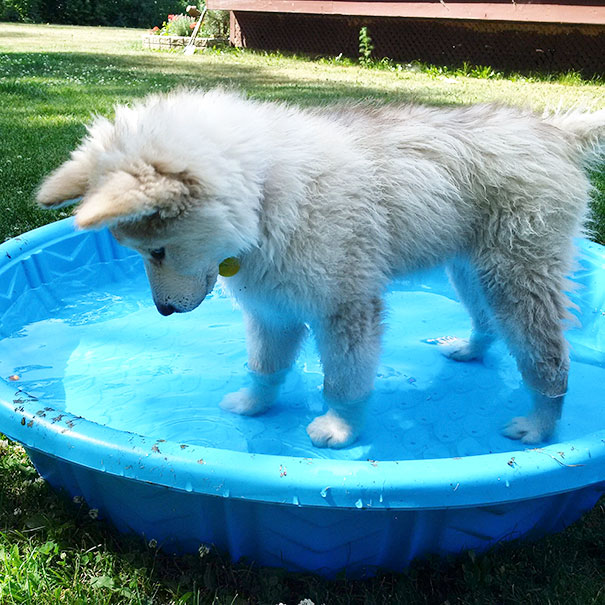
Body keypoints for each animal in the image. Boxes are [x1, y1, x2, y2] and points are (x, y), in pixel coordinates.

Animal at [39, 89, 604, 448]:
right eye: (139, 253)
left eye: (156, 251)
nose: (161, 312)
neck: (268, 192)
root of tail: (554, 131)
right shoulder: (271, 308)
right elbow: (265, 367)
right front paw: (253, 405)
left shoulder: (345, 307)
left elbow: (344, 381)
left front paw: (338, 428)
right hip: (469, 269)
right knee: (485, 320)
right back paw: (469, 350)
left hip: (518, 274)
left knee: (549, 356)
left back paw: (540, 424)